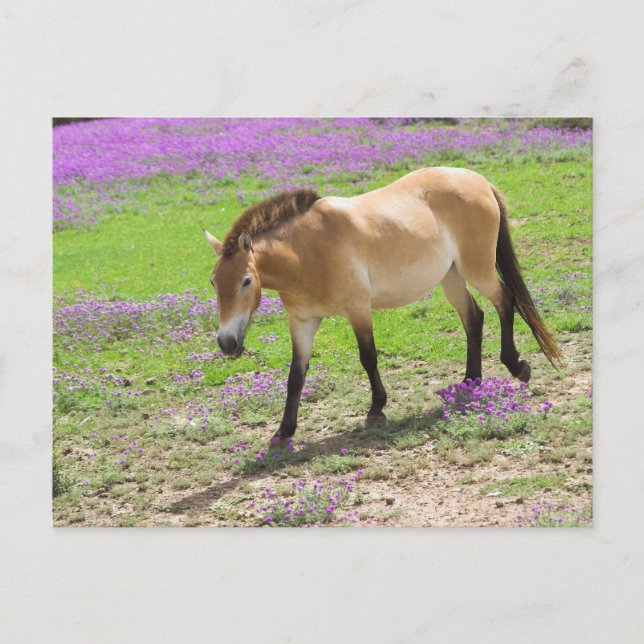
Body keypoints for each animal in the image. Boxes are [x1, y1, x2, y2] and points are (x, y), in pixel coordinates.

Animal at [204, 167, 561, 442]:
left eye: (245, 281)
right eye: (213, 282)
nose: (227, 342)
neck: (305, 255)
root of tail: (478, 180)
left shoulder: (358, 310)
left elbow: (368, 358)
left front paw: (376, 409)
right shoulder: (302, 322)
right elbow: (296, 376)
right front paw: (284, 432)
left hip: (478, 270)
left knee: (505, 302)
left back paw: (516, 366)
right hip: (451, 276)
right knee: (474, 317)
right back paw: (470, 381)